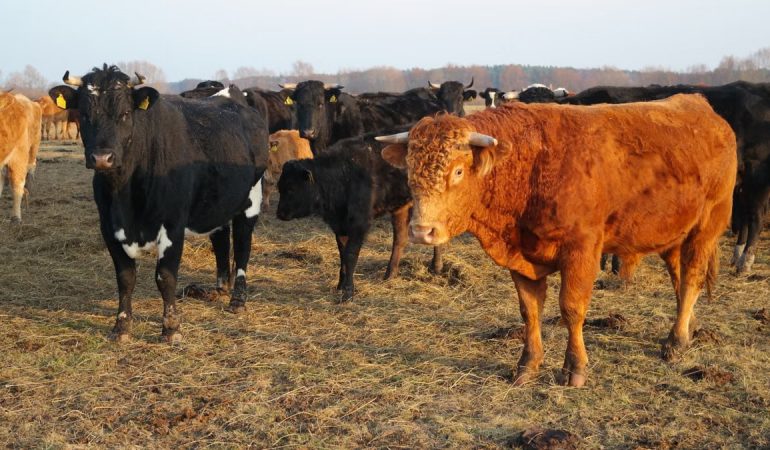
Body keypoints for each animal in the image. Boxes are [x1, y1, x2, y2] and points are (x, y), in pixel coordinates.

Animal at [48, 64, 269, 343]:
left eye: (125, 113)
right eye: (84, 114)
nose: (101, 157)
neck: (125, 193)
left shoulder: (172, 224)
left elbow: (165, 277)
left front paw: (171, 328)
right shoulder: (108, 226)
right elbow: (125, 277)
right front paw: (121, 327)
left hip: (252, 196)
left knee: (242, 245)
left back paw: (237, 299)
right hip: (218, 200)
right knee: (221, 237)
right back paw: (220, 288)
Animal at [276, 126, 444, 302]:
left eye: (291, 189)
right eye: (279, 187)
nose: (280, 213)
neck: (342, 175)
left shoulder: (359, 223)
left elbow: (351, 254)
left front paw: (348, 291)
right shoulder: (340, 225)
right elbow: (343, 254)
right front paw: (340, 285)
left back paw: (436, 267)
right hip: (401, 208)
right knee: (400, 239)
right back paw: (390, 275)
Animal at [378, 95, 736, 387]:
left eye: (458, 171)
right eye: (410, 170)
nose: (421, 230)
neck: (533, 165)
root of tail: (703, 107)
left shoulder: (581, 250)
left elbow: (571, 309)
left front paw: (574, 368)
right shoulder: (521, 255)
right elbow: (529, 310)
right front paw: (527, 365)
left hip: (707, 226)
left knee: (691, 278)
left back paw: (675, 342)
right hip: (675, 232)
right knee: (679, 278)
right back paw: (687, 330)